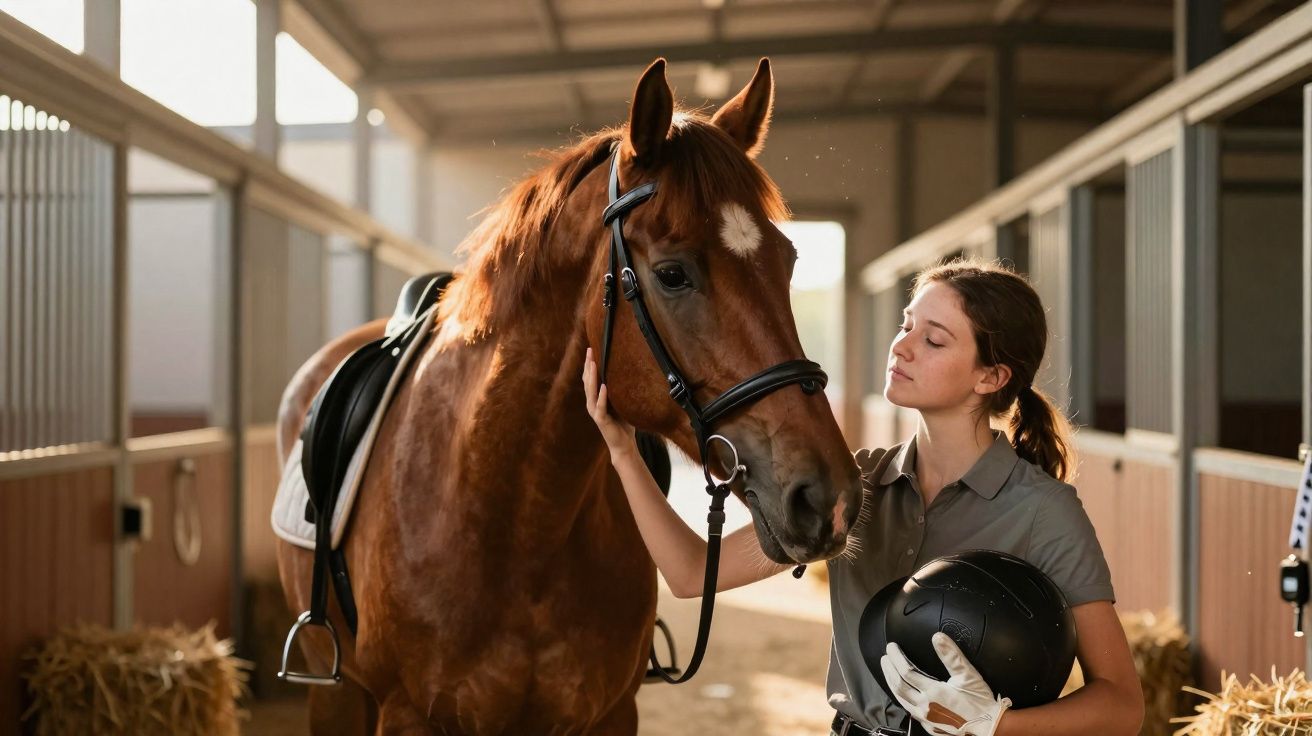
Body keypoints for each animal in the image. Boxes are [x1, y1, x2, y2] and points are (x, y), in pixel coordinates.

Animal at [275, 57, 863, 735]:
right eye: (672, 274)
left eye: (787, 260)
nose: (829, 497)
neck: (516, 526)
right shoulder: (407, 715)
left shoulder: (610, 714)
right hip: (336, 695)